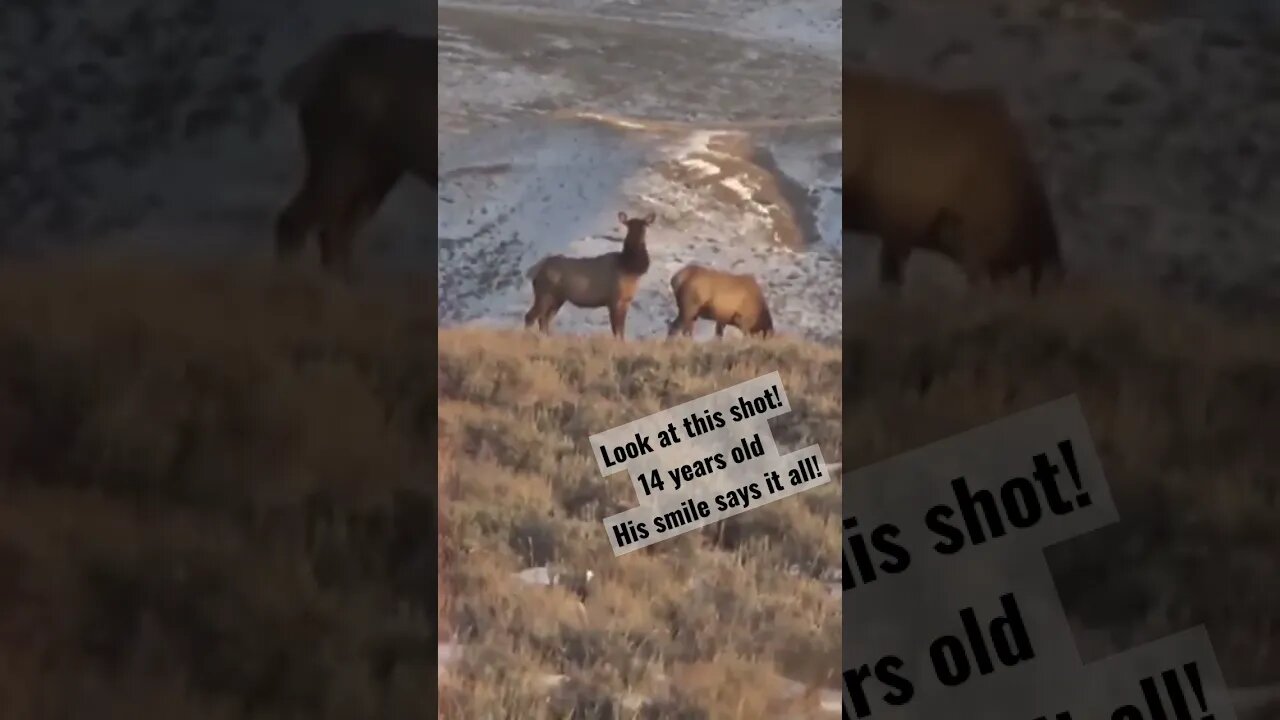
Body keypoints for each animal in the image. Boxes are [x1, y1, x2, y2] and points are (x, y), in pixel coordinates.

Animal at [522, 210, 655, 338]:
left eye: (644, 226)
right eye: (629, 226)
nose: (638, 241)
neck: (629, 268)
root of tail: (535, 271)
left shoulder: (626, 301)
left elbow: (621, 330)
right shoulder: (614, 300)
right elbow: (617, 329)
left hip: (557, 298)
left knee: (544, 319)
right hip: (545, 293)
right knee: (530, 317)